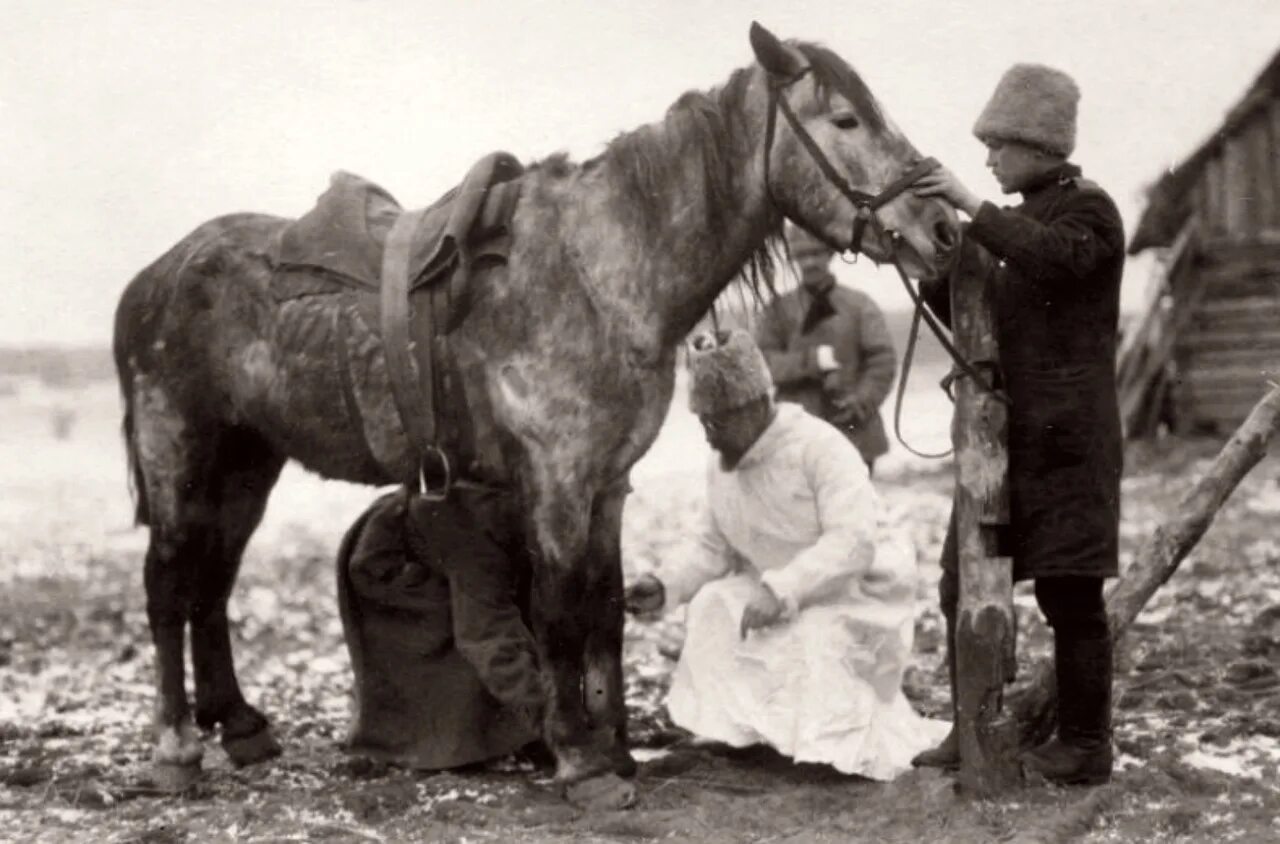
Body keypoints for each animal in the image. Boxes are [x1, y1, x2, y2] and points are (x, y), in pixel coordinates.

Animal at [112, 21, 962, 799]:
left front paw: (615, 746)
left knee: (213, 583)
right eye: (845, 121)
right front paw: (580, 758)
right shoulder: (556, 480)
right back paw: (177, 750)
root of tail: (154, 277)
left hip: (245, 462)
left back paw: (241, 727)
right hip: (180, 454)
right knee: (168, 584)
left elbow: (606, 608)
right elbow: (558, 610)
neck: (597, 274)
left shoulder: (608, 484)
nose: (946, 229)